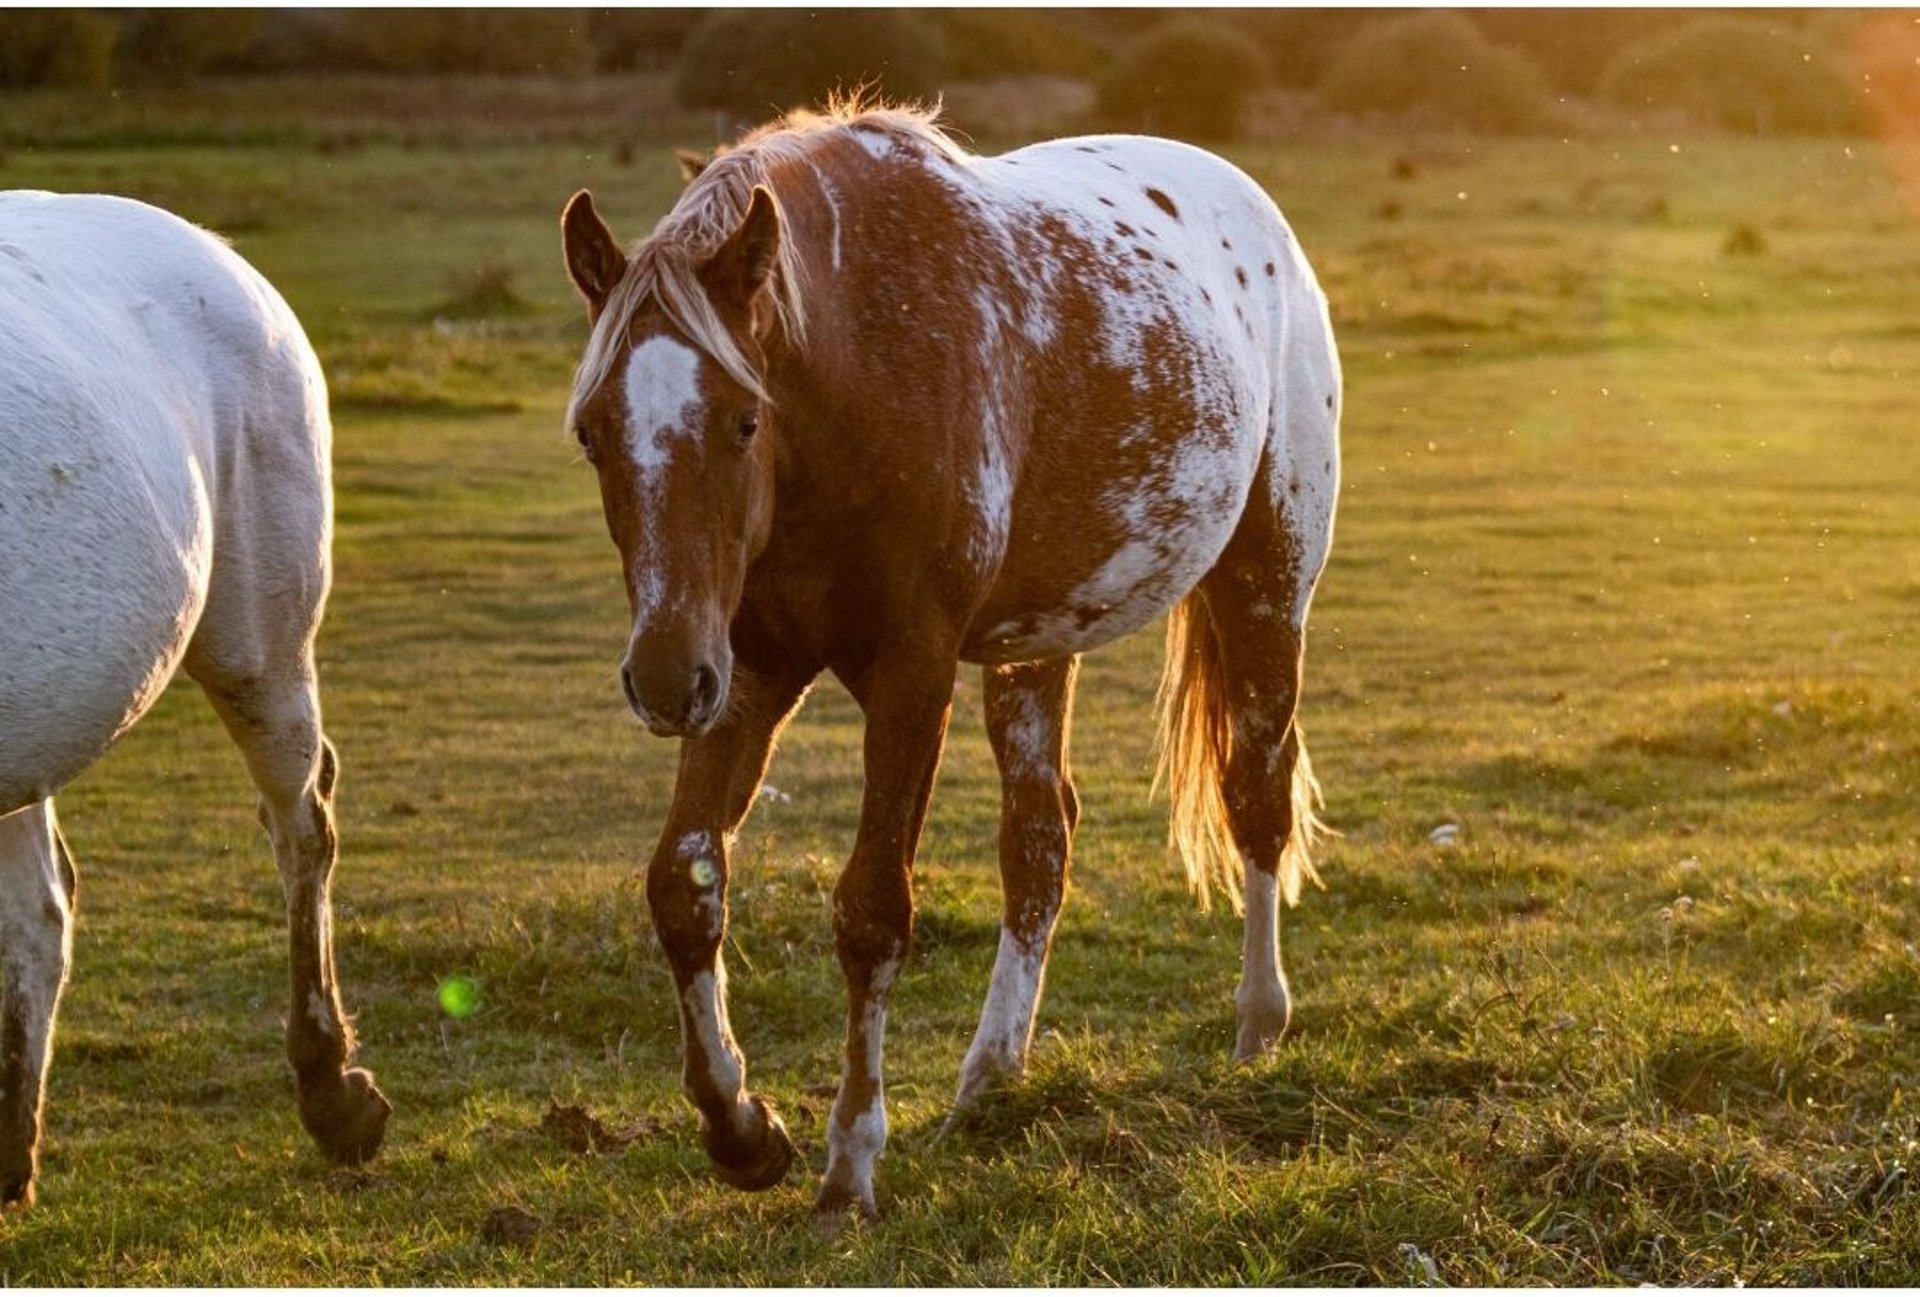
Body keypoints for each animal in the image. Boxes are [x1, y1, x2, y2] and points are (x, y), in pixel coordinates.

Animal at [556, 98, 1336, 1212]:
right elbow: (684, 885)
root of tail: (1254, 210)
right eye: (592, 433)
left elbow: (873, 911)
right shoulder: (745, 670)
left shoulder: (908, 675)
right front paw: (741, 1125)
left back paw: (1259, 1021)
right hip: (1035, 646)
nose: (662, 681)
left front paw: (850, 1158)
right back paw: (993, 1068)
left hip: (1267, 585)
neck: (863, 370)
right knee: (1040, 841)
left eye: (745, 421)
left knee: (1255, 793)